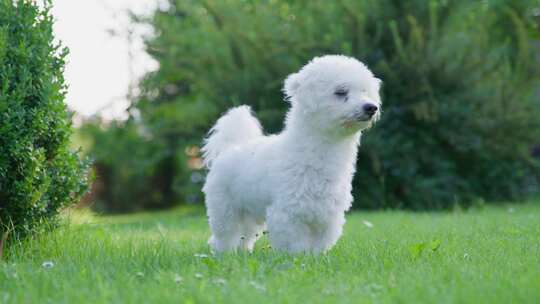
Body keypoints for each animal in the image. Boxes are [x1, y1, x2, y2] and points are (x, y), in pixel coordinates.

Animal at [200, 55, 382, 254]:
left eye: (365, 91)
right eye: (341, 92)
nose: (371, 107)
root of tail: (231, 147)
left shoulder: (327, 216)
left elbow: (320, 244)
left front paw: (317, 257)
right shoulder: (287, 214)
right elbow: (296, 245)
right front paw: (297, 257)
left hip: (249, 211)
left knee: (245, 235)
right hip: (225, 210)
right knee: (225, 236)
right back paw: (224, 253)